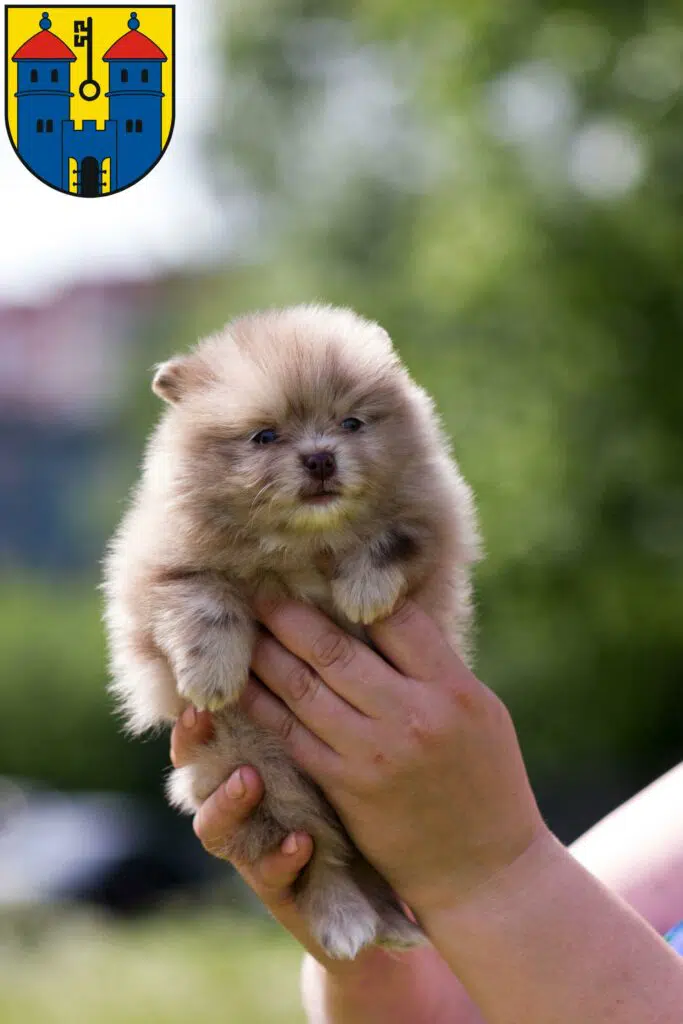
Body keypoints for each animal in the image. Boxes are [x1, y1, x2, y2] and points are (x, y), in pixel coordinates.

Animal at [105, 303, 481, 958]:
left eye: (352, 423)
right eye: (265, 436)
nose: (320, 458)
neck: (304, 541)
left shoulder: (435, 515)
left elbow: (393, 537)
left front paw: (363, 592)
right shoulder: (159, 567)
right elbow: (203, 601)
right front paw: (212, 677)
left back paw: (393, 925)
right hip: (260, 772)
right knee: (321, 858)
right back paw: (348, 921)